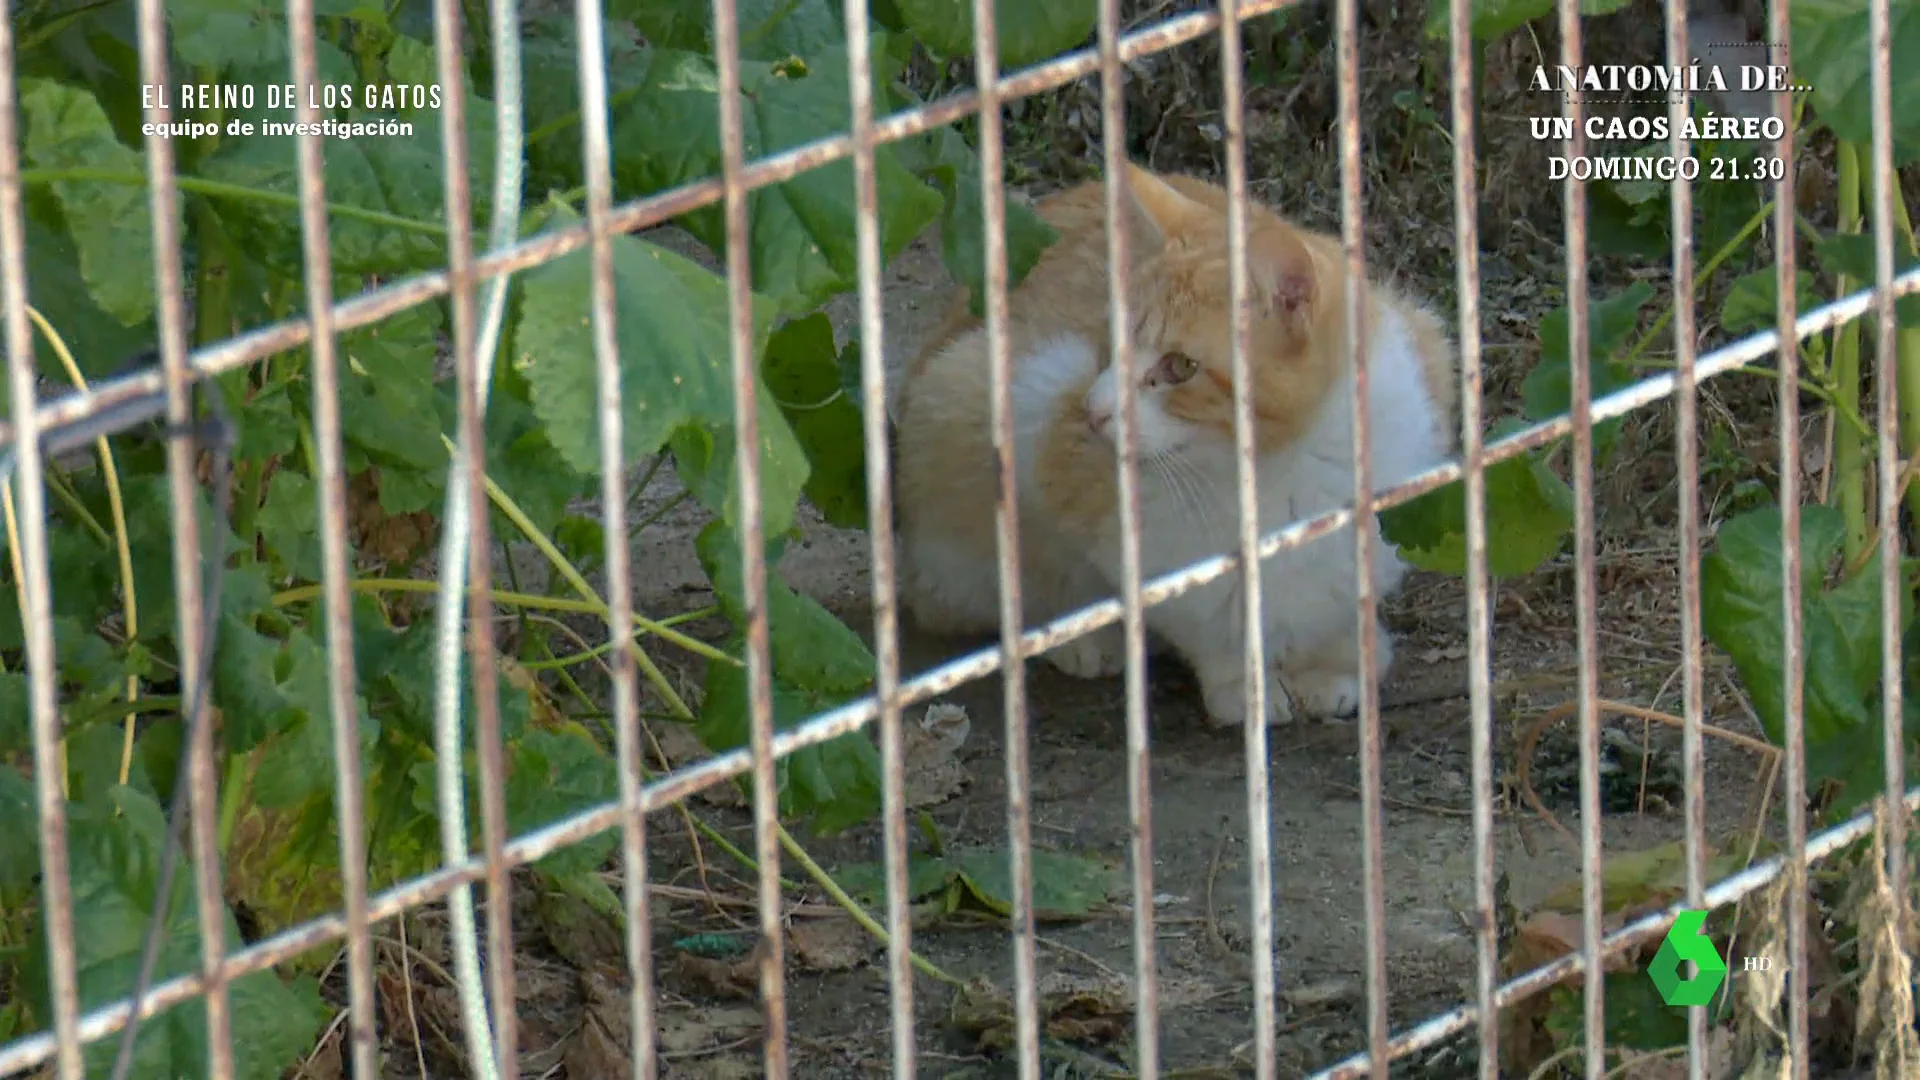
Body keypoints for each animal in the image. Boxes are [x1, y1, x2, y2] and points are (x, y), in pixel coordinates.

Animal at [890, 164, 1443, 726]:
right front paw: (1243, 686)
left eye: (1180, 367)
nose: (1093, 411)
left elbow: (1335, 606)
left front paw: (1337, 664)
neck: (1283, 469)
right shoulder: (1046, 415)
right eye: (1107, 344)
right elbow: (1207, 616)